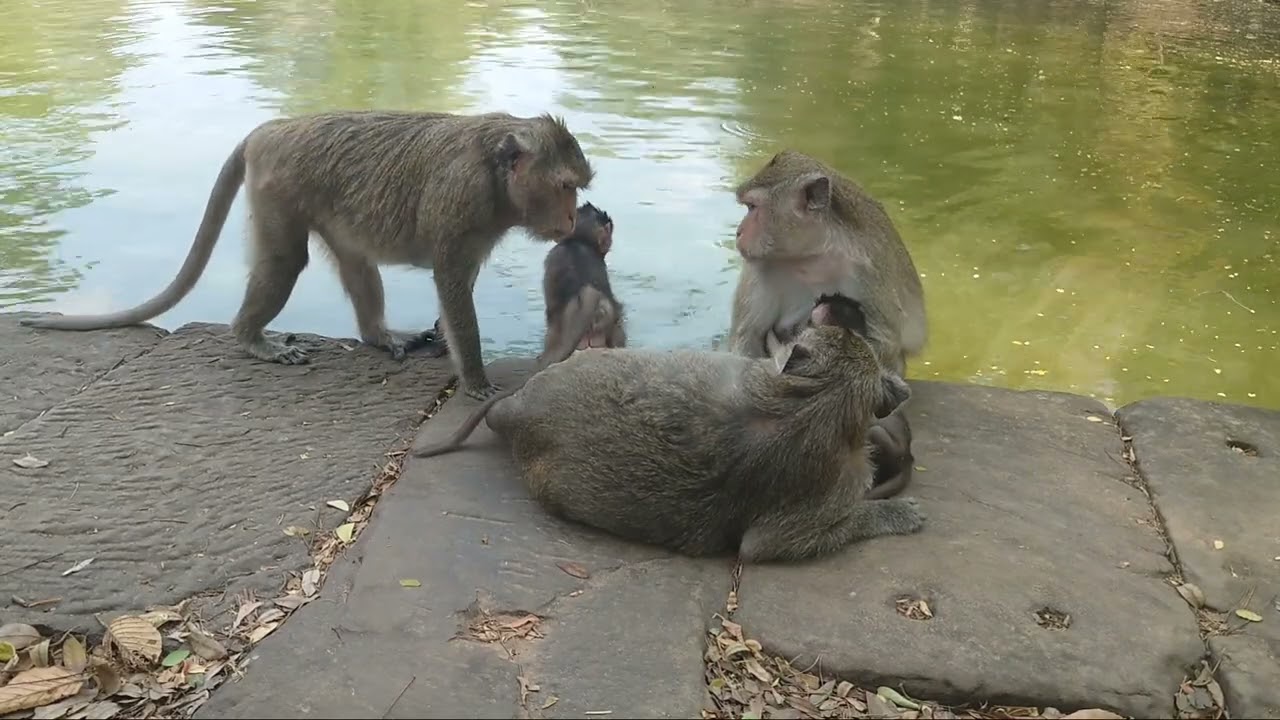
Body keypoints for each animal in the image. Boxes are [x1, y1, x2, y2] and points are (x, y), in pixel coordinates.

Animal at [19, 110, 595, 400]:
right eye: (566, 187)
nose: (572, 219)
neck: (497, 177)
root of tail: (269, 130)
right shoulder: (460, 202)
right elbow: (452, 286)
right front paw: (476, 381)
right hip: (278, 190)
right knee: (283, 263)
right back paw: (251, 339)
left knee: (356, 261)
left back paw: (378, 335)